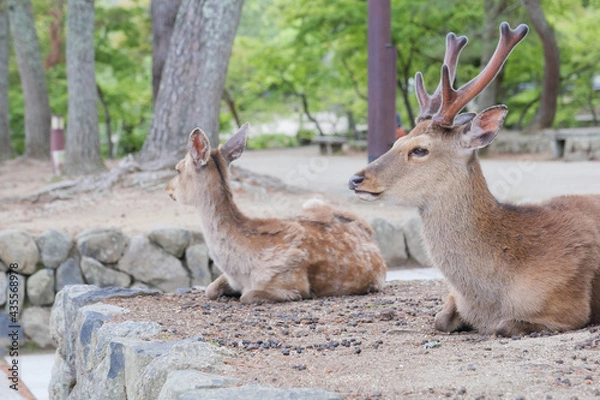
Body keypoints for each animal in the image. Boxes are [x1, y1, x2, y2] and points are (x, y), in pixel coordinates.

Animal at [166, 124, 386, 304]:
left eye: (177, 170)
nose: (168, 189)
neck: (240, 268)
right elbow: (210, 289)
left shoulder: (289, 283)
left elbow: (247, 296)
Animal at [346, 21, 600, 334]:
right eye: (396, 141)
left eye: (420, 150)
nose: (356, 179)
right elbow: (441, 319)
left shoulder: (569, 305)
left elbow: (505, 326)